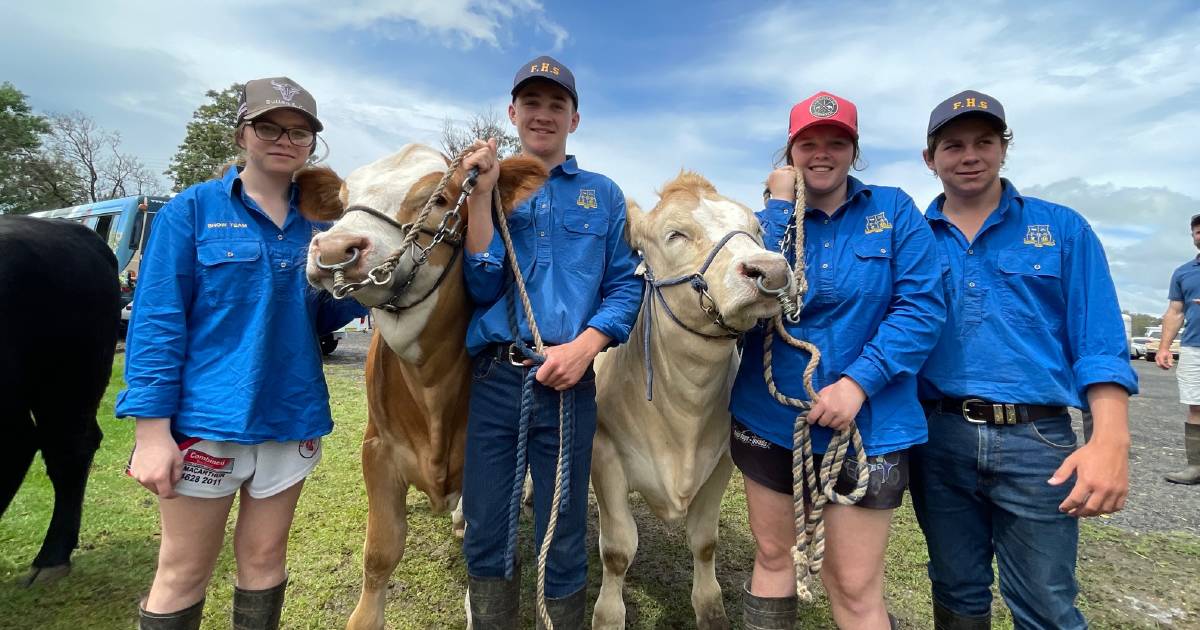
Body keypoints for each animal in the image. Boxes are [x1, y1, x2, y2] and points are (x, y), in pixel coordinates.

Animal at [302, 142, 547, 628]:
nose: (335, 247)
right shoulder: (377, 448)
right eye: (342, 200)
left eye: (439, 199)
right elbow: (380, 550)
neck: (430, 385)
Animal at [588, 171, 792, 628]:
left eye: (756, 230)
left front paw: (711, 609)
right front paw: (608, 615)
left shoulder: (721, 460)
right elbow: (618, 549)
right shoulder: (604, 453)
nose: (770, 269)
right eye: (676, 234)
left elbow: (703, 541)